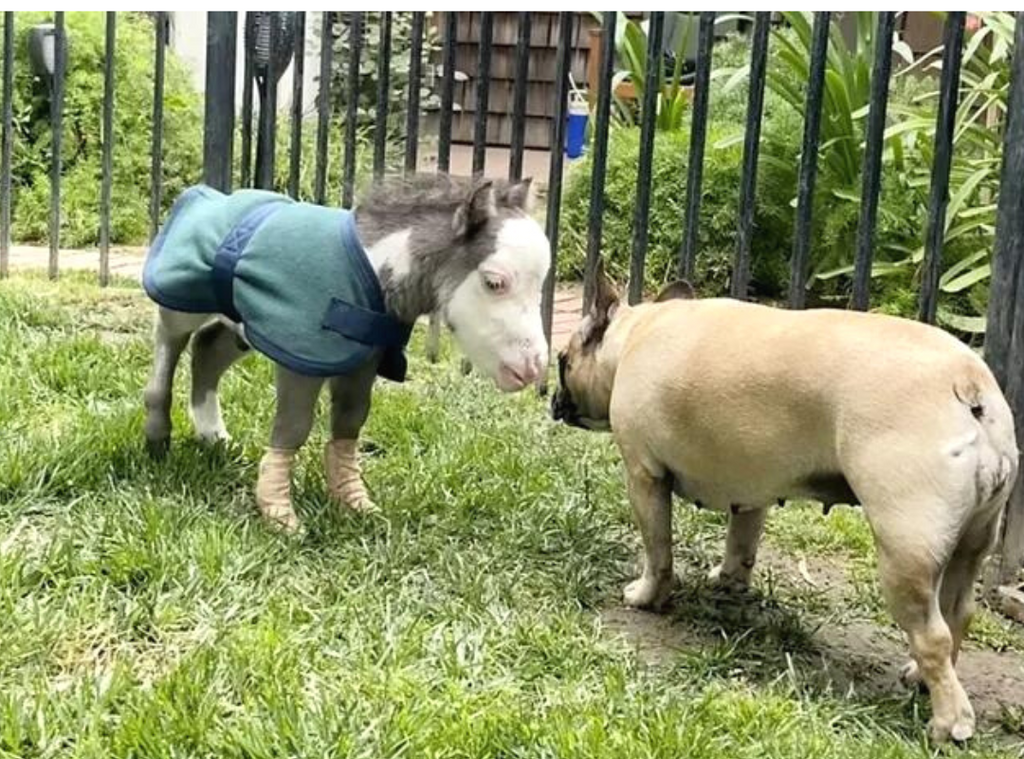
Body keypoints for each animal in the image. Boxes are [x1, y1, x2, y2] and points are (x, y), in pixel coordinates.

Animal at [557, 264, 1019, 741]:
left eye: (562, 362)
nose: (555, 401)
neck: (635, 333)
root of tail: (969, 386)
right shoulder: (749, 488)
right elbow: (741, 542)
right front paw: (728, 580)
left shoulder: (643, 476)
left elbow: (658, 550)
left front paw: (646, 596)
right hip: (972, 539)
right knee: (957, 612)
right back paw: (920, 678)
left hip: (905, 548)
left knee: (932, 635)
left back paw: (950, 721)